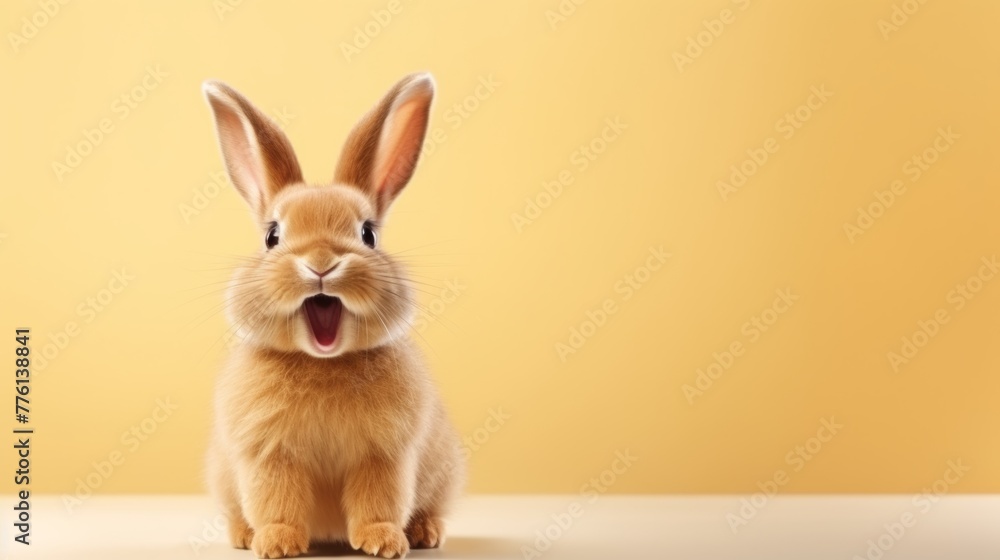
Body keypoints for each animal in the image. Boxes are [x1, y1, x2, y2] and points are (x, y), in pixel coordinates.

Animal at [201, 73, 464, 559]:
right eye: (272, 236)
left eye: (368, 234)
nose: (321, 262)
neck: (323, 363)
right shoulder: (269, 453)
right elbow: (276, 500)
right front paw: (276, 544)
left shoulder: (384, 454)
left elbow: (378, 500)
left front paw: (383, 543)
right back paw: (243, 535)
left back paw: (425, 533)